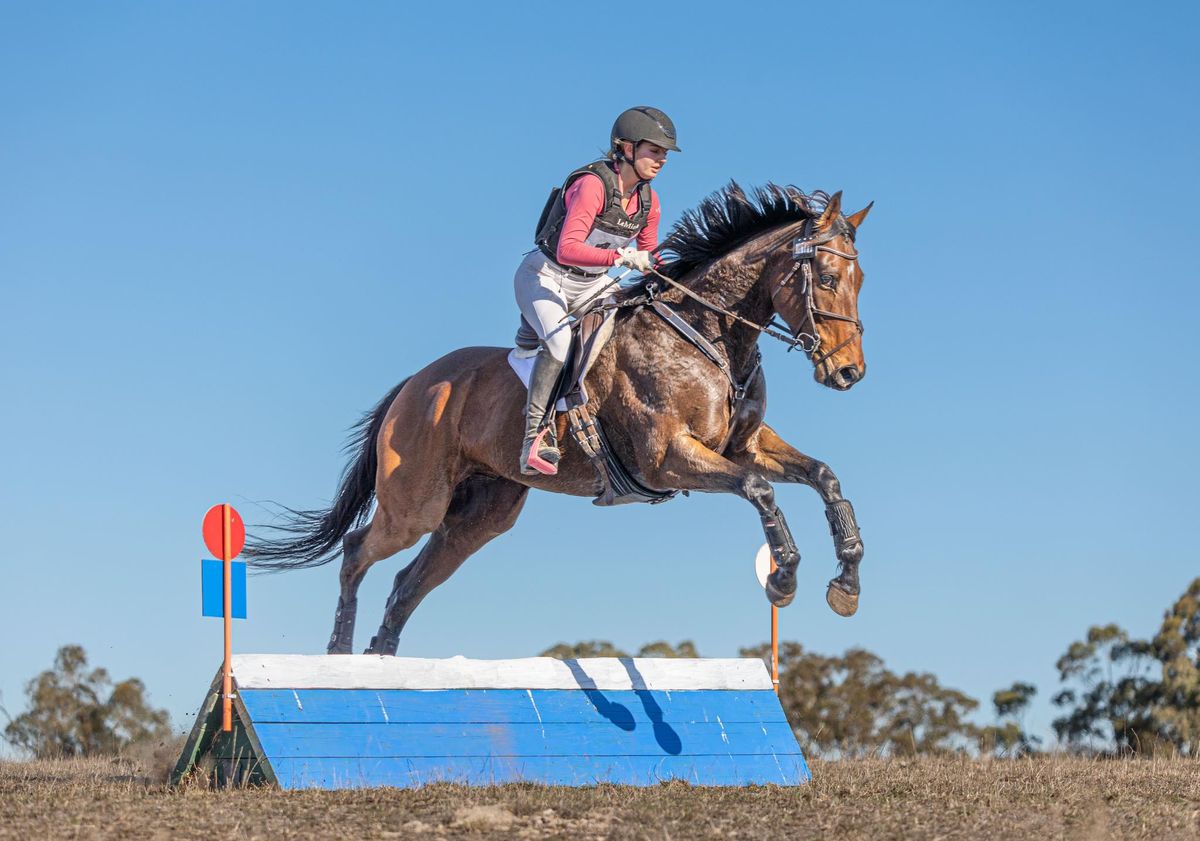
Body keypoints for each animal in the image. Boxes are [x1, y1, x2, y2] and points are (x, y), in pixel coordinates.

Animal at [250, 184, 873, 657]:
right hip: (417, 504)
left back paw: (381, 665)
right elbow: (760, 489)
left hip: (481, 514)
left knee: (408, 583)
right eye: (824, 279)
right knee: (358, 552)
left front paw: (846, 581)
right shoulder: (669, 458)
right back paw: (339, 655)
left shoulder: (743, 444)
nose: (849, 373)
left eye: (860, 281)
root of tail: (415, 385)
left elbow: (822, 476)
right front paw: (784, 578)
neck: (706, 335)